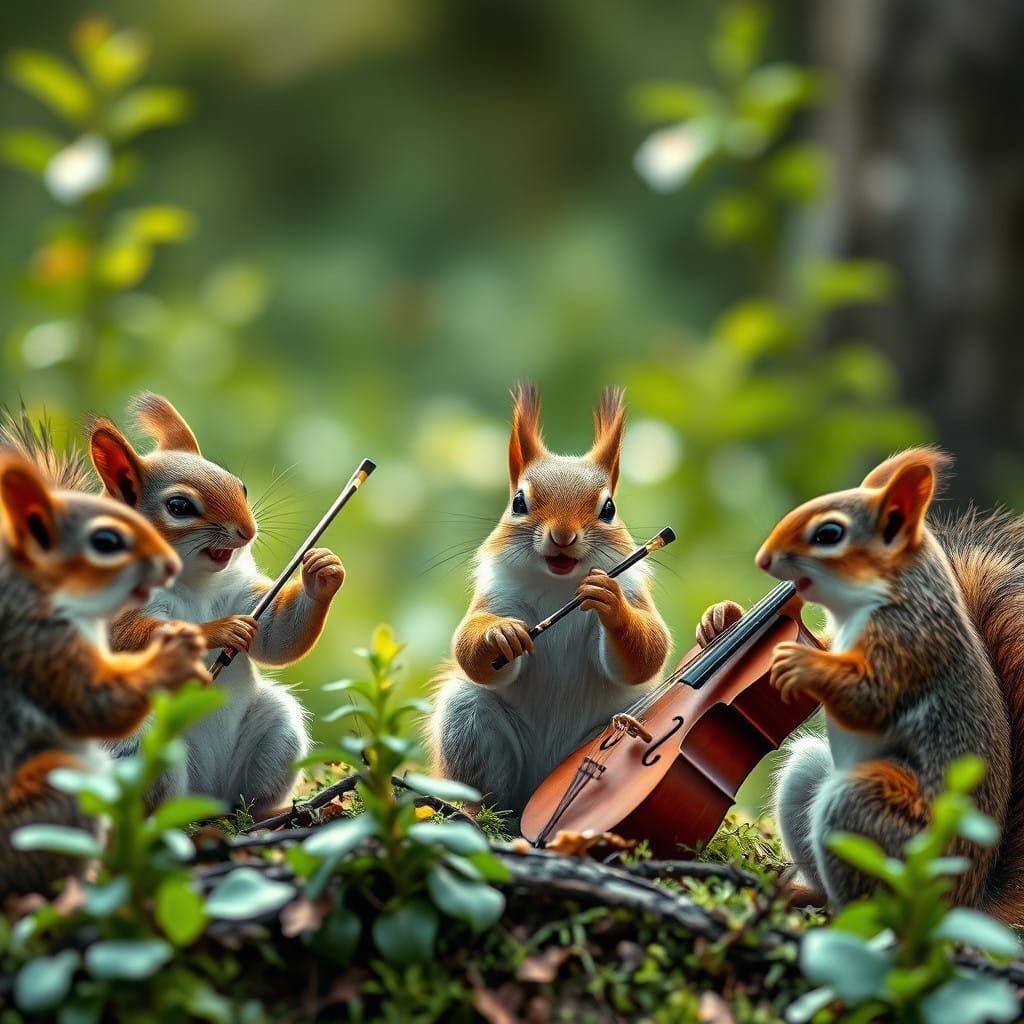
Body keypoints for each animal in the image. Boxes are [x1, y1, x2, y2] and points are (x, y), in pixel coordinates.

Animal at [87, 393, 346, 817]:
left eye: (240, 485)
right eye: (178, 506)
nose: (249, 530)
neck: (193, 584)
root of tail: (206, 797)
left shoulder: (243, 592)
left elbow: (276, 636)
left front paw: (322, 571)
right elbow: (131, 641)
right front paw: (218, 630)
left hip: (276, 730)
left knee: (249, 797)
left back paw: (271, 812)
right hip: (142, 745)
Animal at [428, 384, 671, 814]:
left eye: (609, 508)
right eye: (518, 503)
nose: (562, 536)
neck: (561, 585)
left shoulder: (634, 592)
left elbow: (647, 651)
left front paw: (609, 601)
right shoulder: (496, 595)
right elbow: (469, 646)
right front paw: (499, 635)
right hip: (467, 718)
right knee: (491, 792)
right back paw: (480, 812)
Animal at [696, 448, 1024, 919]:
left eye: (829, 533)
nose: (764, 559)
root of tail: (960, 903)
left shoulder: (911, 645)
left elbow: (870, 698)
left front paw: (798, 661)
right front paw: (720, 620)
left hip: (872, 815)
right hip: (810, 777)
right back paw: (800, 893)